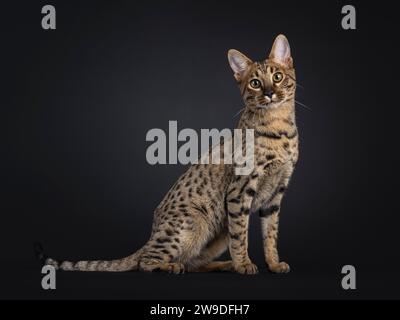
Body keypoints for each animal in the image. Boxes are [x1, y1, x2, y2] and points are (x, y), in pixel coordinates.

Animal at [37, 34, 298, 276]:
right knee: (147, 262)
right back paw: (173, 266)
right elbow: (241, 236)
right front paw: (244, 264)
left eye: (277, 77)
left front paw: (273, 264)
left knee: (192, 262)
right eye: (255, 82)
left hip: (216, 233)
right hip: (192, 224)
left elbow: (270, 235)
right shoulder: (239, 191)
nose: (269, 93)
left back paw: (223, 264)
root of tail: (150, 235)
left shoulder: (276, 194)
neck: (280, 129)